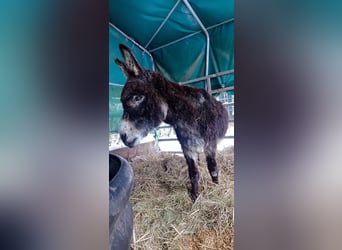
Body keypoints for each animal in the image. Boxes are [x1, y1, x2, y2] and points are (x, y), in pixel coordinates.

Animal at [113, 44, 228, 201]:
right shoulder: (187, 148)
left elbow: (213, 169)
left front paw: (216, 188)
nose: (123, 136)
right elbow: (193, 174)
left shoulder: (210, 145)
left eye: (137, 98)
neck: (191, 117)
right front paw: (195, 198)